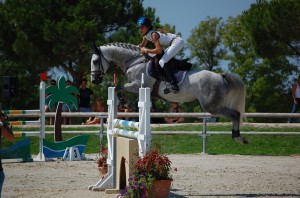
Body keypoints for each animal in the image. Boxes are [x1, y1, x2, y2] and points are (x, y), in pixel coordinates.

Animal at [91, 42, 248, 144]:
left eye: (95, 61)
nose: (94, 80)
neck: (135, 61)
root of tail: (221, 76)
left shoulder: (137, 85)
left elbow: (118, 87)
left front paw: (124, 102)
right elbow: (117, 87)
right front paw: (123, 102)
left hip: (211, 107)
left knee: (235, 114)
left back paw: (238, 138)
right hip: (213, 106)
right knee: (235, 114)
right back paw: (238, 136)